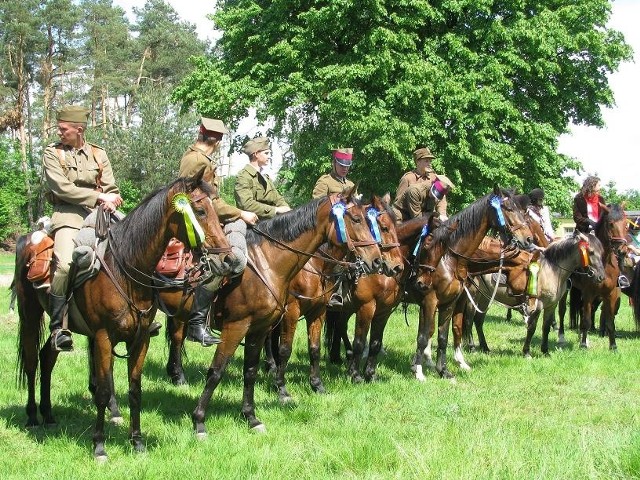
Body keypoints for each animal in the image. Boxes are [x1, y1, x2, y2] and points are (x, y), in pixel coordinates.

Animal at [13, 171, 230, 460]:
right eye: (200, 210)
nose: (227, 260)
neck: (125, 269)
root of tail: (28, 240)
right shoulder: (104, 338)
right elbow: (104, 390)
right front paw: (99, 446)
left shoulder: (140, 339)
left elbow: (135, 389)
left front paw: (137, 442)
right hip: (29, 316)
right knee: (31, 362)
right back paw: (32, 417)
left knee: (47, 357)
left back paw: (48, 415)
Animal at [189, 189, 380, 436]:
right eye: (356, 219)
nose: (377, 260)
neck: (268, 263)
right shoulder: (251, 322)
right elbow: (221, 369)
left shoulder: (307, 314)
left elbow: (309, 350)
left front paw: (315, 386)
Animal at [408, 187, 532, 378]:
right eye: (509, 208)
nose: (528, 239)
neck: (449, 258)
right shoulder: (430, 300)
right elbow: (427, 333)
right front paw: (420, 369)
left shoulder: (454, 301)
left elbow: (451, 331)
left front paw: (451, 365)